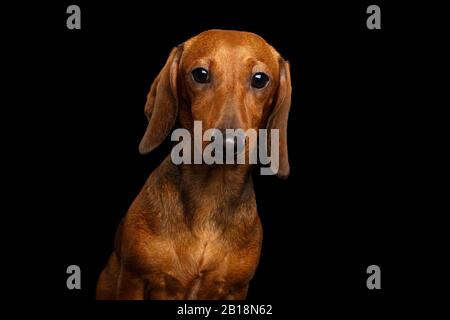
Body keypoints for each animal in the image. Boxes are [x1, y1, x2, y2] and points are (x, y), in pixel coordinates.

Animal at [96, 30, 290, 300]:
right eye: (200, 74)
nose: (227, 143)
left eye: (260, 79)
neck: (210, 194)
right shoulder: (132, 279)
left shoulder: (236, 290)